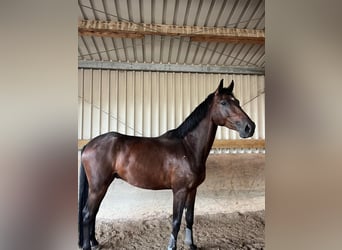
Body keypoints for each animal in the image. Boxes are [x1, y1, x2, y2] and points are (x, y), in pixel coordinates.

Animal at [77, 79, 254, 249]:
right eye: (223, 102)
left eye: (237, 101)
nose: (250, 127)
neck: (188, 147)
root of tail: (89, 145)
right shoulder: (179, 191)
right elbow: (176, 220)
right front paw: (172, 246)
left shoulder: (192, 190)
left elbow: (189, 217)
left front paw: (191, 244)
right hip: (98, 187)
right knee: (87, 214)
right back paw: (87, 245)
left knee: (93, 213)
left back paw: (95, 242)